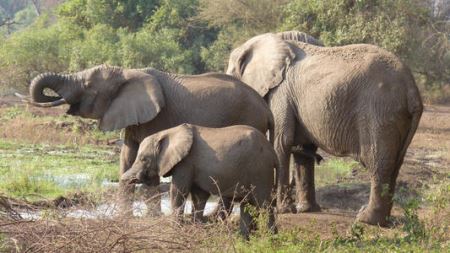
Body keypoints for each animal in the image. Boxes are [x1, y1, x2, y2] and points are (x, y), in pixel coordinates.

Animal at [17, 64, 274, 212]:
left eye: (88, 85)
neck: (126, 71)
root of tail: (266, 109)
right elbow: (127, 157)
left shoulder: (157, 118)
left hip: (248, 121)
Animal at [121, 123, 280, 238]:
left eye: (143, 159)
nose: (125, 178)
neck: (167, 133)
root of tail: (273, 152)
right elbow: (199, 196)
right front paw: (196, 230)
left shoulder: (185, 163)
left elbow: (179, 192)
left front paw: (176, 230)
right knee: (246, 204)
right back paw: (244, 239)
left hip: (260, 169)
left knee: (264, 204)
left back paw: (271, 238)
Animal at [227, 30, 424, 226]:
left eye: (231, 72)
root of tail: (412, 89)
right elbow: (302, 150)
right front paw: (305, 209)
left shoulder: (281, 93)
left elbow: (281, 143)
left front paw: (283, 210)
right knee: (395, 163)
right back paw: (383, 220)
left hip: (380, 112)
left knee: (378, 162)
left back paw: (366, 219)